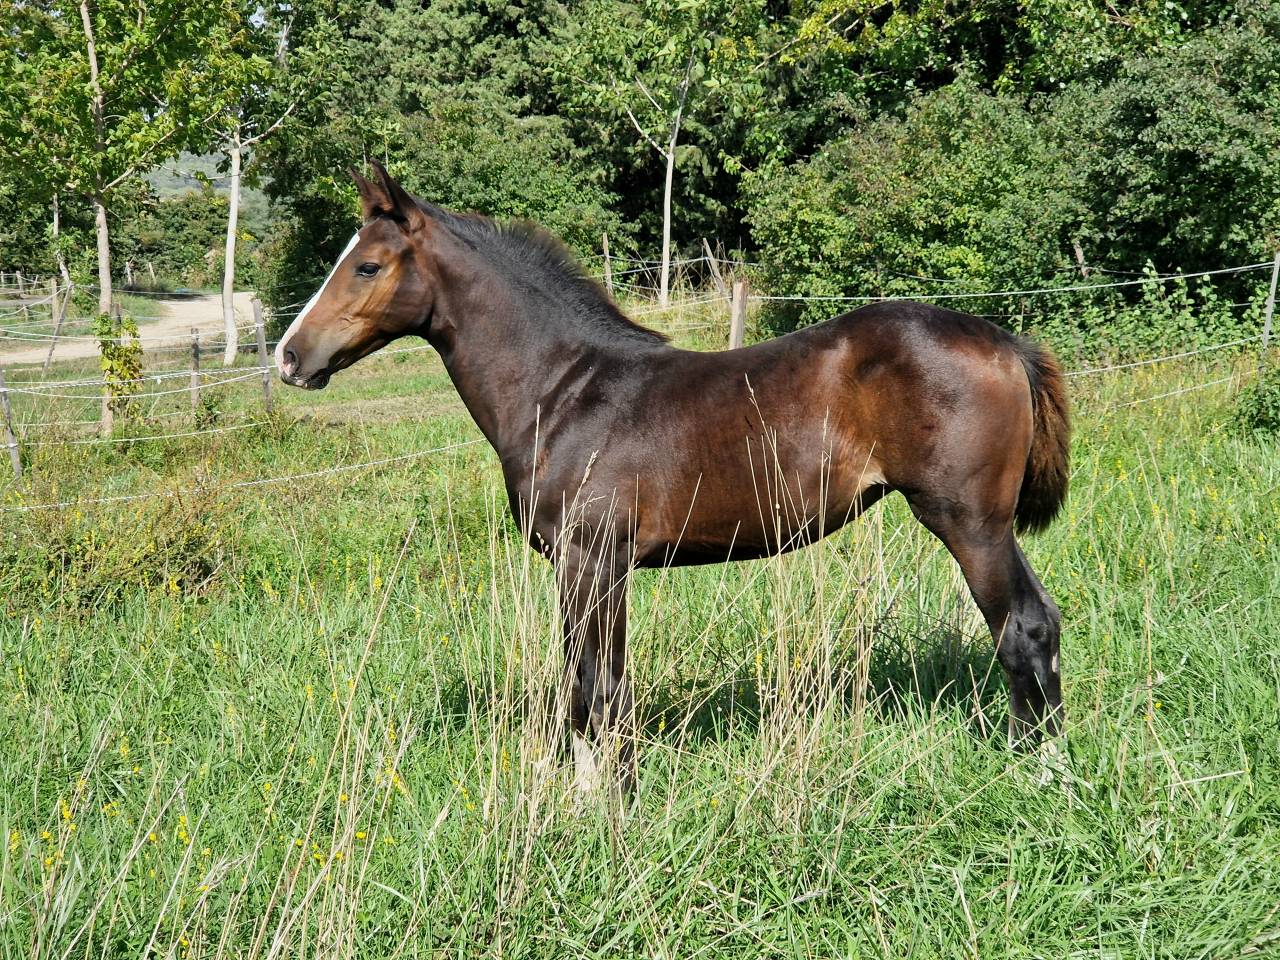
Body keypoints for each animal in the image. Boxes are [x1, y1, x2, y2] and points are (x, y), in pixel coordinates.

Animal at [276, 163, 1071, 794]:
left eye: (368, 266)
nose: (289, 356)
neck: (564, 390)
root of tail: (1007, 343)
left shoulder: (592, 559)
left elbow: (597, 687)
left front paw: (608, 802)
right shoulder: (592, 567)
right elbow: (589, 680)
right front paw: (592, 793)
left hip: (968, 523)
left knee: (1022, 627)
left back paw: (1043, 773)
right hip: (990, 526)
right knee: (1041, 619)